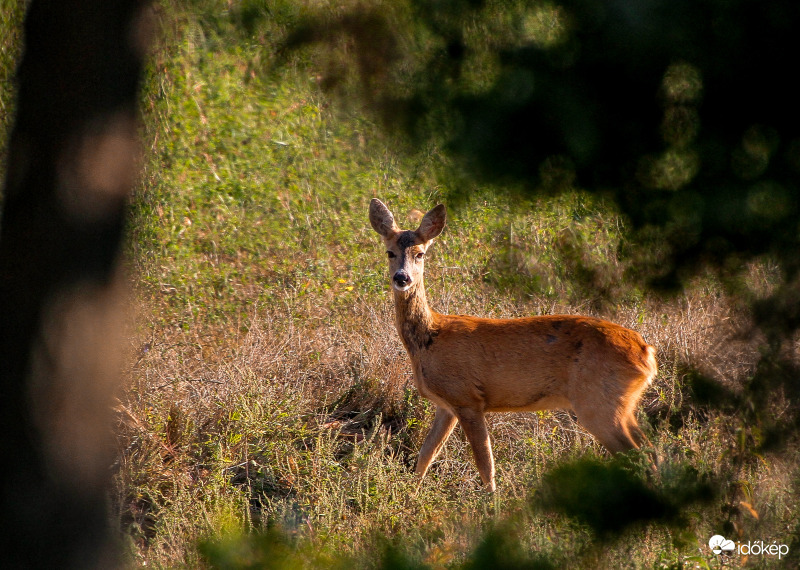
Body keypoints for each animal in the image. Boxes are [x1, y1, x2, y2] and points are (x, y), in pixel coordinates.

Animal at [368, 199, 656, 488]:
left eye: (420, 254)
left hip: (598, 402)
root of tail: (646, 353)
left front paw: (490, 499)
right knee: (652, 450)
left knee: (642, 455)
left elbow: (485, 465)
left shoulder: (467, 398)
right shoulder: (446, 405)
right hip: (621, 403)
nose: (402, 278)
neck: (429, 338)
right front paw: (412, 491)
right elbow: (425, 456)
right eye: (390, 252)